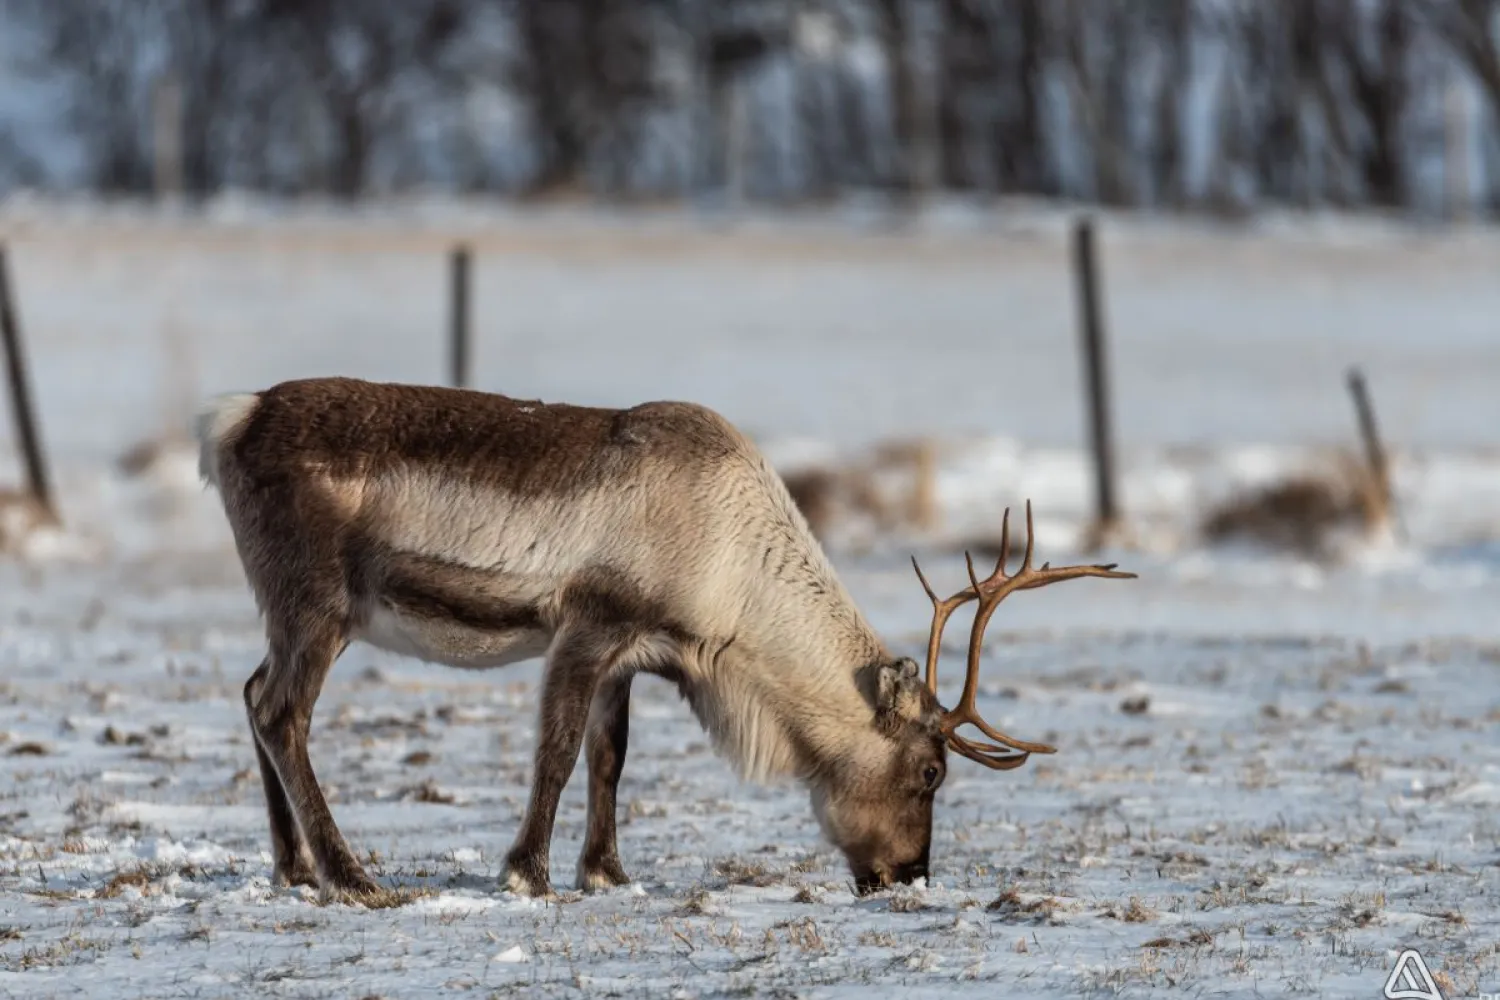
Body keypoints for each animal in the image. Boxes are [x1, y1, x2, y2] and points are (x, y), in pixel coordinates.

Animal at [195, 376, 1135, 905]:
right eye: (932, 771)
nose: (909, 875)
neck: (730, 582)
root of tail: (231, 420)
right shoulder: (587, 626)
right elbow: (557, 754)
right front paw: (527, 874)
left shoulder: (634, 657)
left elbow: (611, 759)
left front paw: (606, 872)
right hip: (317, 604)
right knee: (281, 711)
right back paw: (349, 876)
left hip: (291, 611)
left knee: (250, 693)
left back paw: (292, 868)